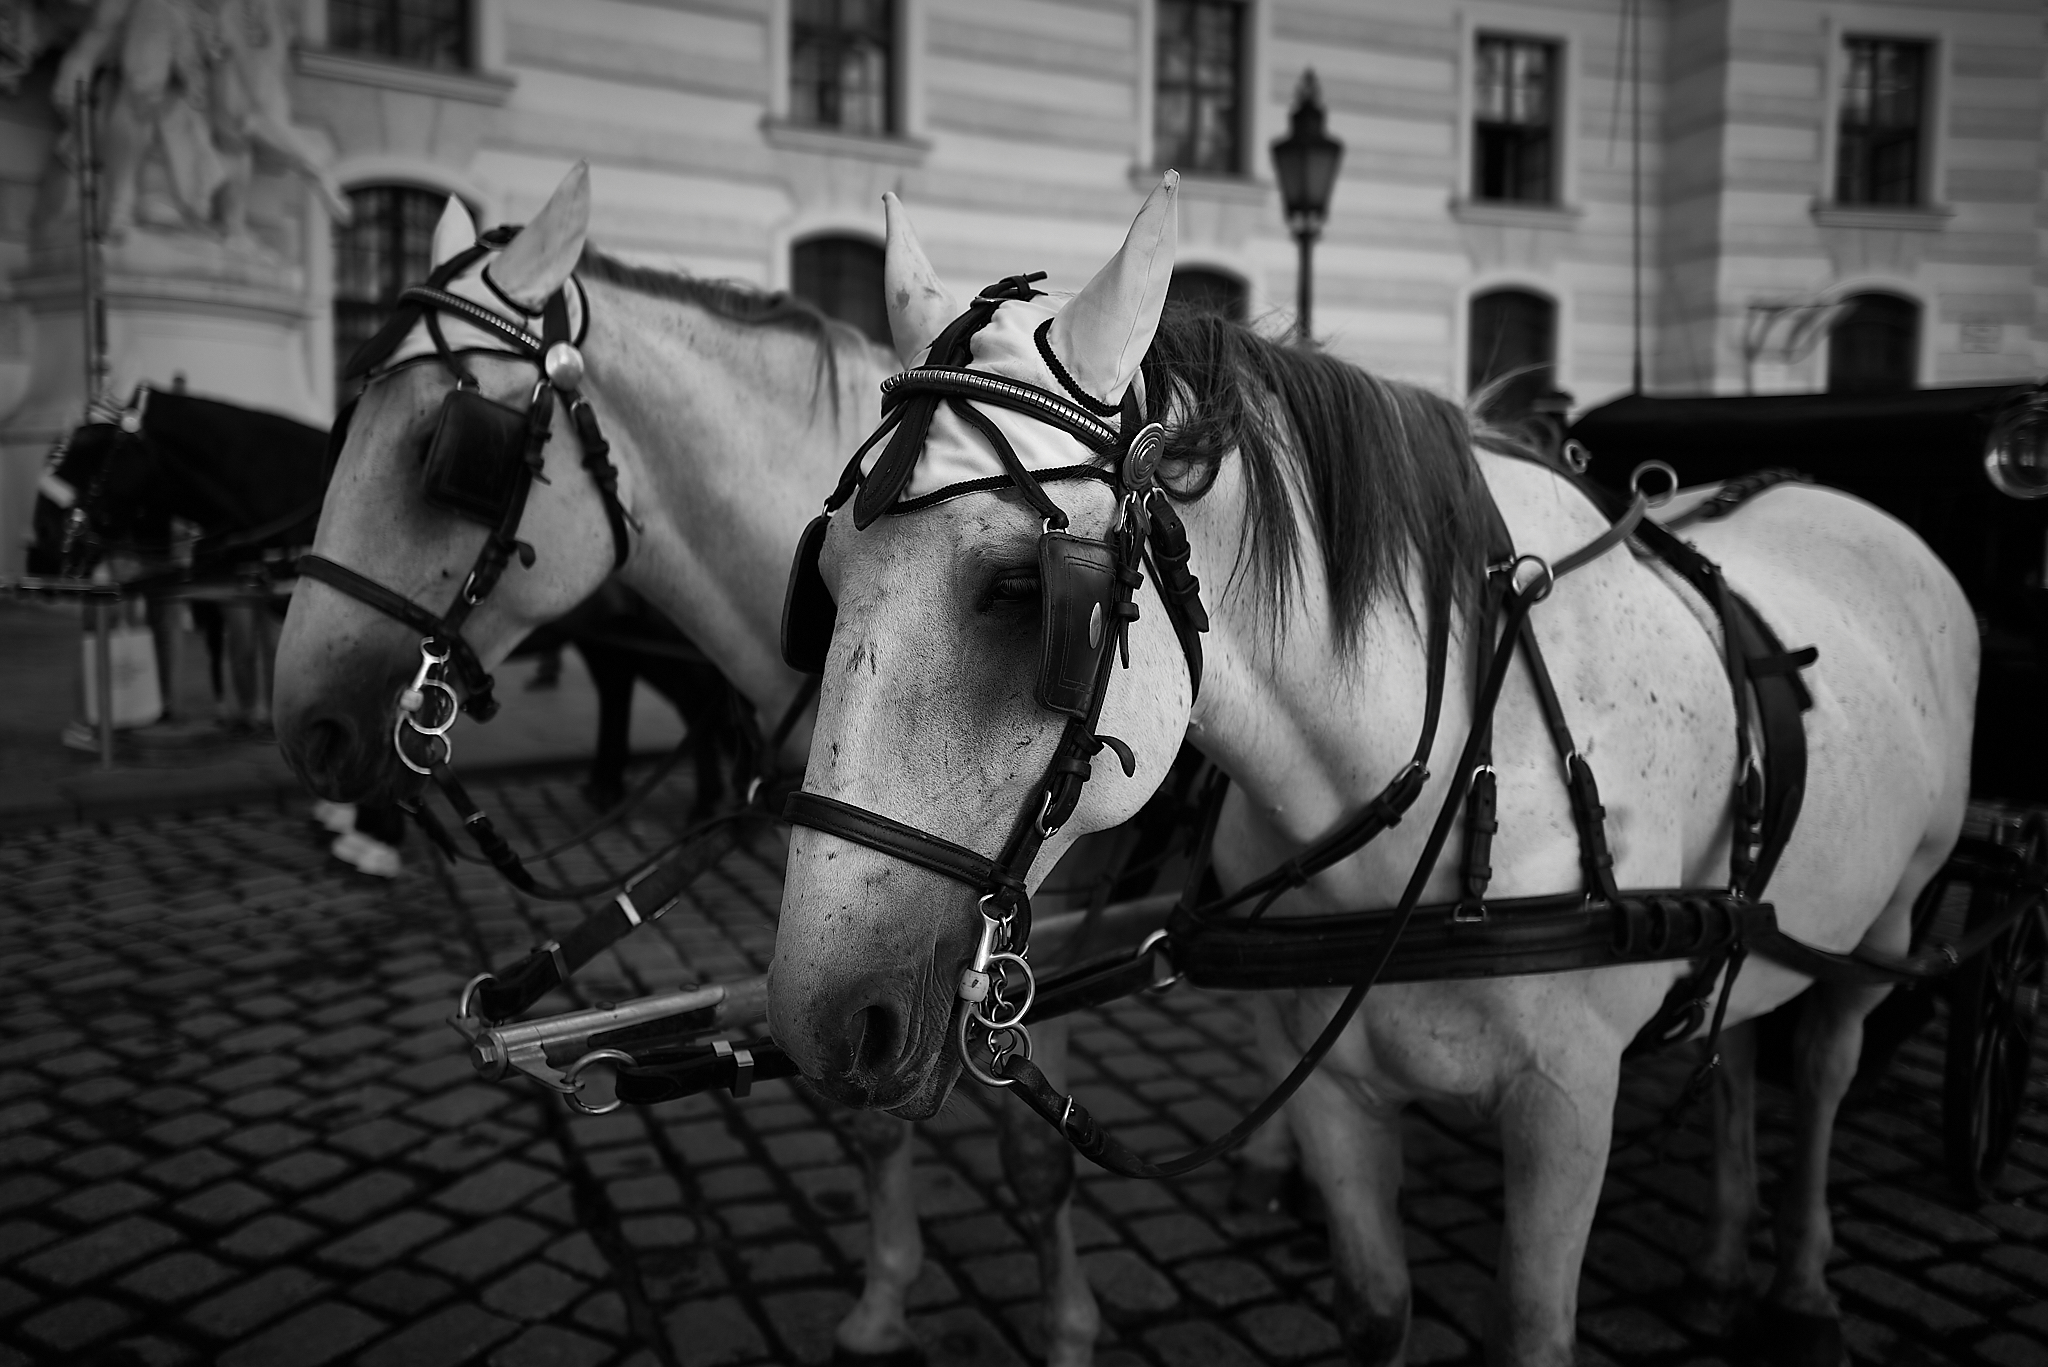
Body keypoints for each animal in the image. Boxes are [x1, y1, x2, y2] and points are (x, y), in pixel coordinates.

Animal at [268, 164, 1115, 1365]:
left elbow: (1037, 1152)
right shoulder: (842, 924)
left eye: (449, 445)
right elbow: (859, 1102)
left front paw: (1066, 1327)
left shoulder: (1059, 915)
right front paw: (882, 1296)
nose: (307, 723)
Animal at [766, 177, 1978, 1366]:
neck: (1465, 775)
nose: (820, 1020)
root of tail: (1843, 502)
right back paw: (1726, 1260)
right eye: (821, 581)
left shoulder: (1567, 1103)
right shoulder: (1335, 1093)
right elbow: (1374, 1309)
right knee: (1737, 1040)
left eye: (1021, 588)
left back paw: (1800, 1281)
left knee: (1821, 1064)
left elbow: (1530, 1326)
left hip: (1893, 911)